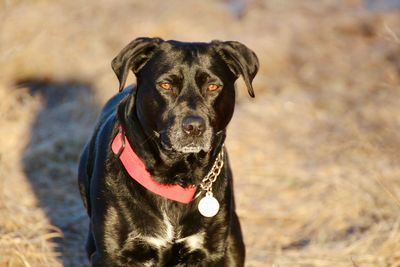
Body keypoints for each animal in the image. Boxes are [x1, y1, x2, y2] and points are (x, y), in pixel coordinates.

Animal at [78, 36, 260, 266]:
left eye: (213, 86)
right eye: (166, 85)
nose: (194, 127)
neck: (176, 176)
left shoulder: (213, 252)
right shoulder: (112, 254)